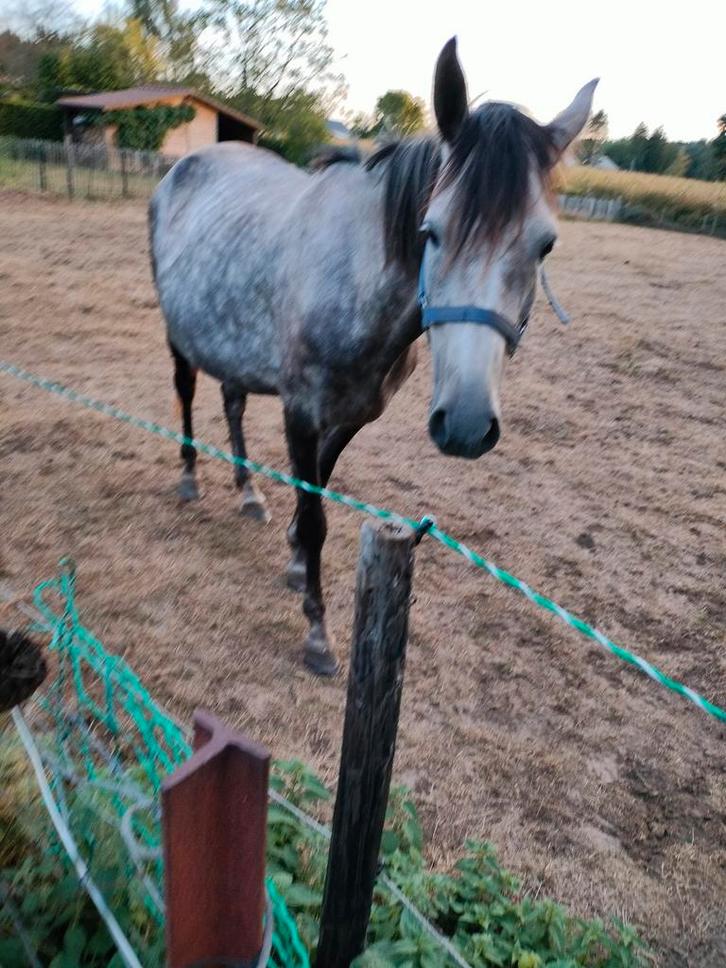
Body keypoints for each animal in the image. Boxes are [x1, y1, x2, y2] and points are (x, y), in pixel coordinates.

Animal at [149, 37, 597, 676]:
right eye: (430, 231)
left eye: (546, 245)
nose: (466, 424)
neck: (360, 283)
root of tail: (181, 168)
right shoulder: (301, 410)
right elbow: (316, 515)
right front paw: (317, 631)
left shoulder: (354, 414)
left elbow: (317, 486)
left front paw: (293, 560)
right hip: (178, 332)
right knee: (186, 391)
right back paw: (189, 476)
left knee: (232, 401)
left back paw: (248, 492)